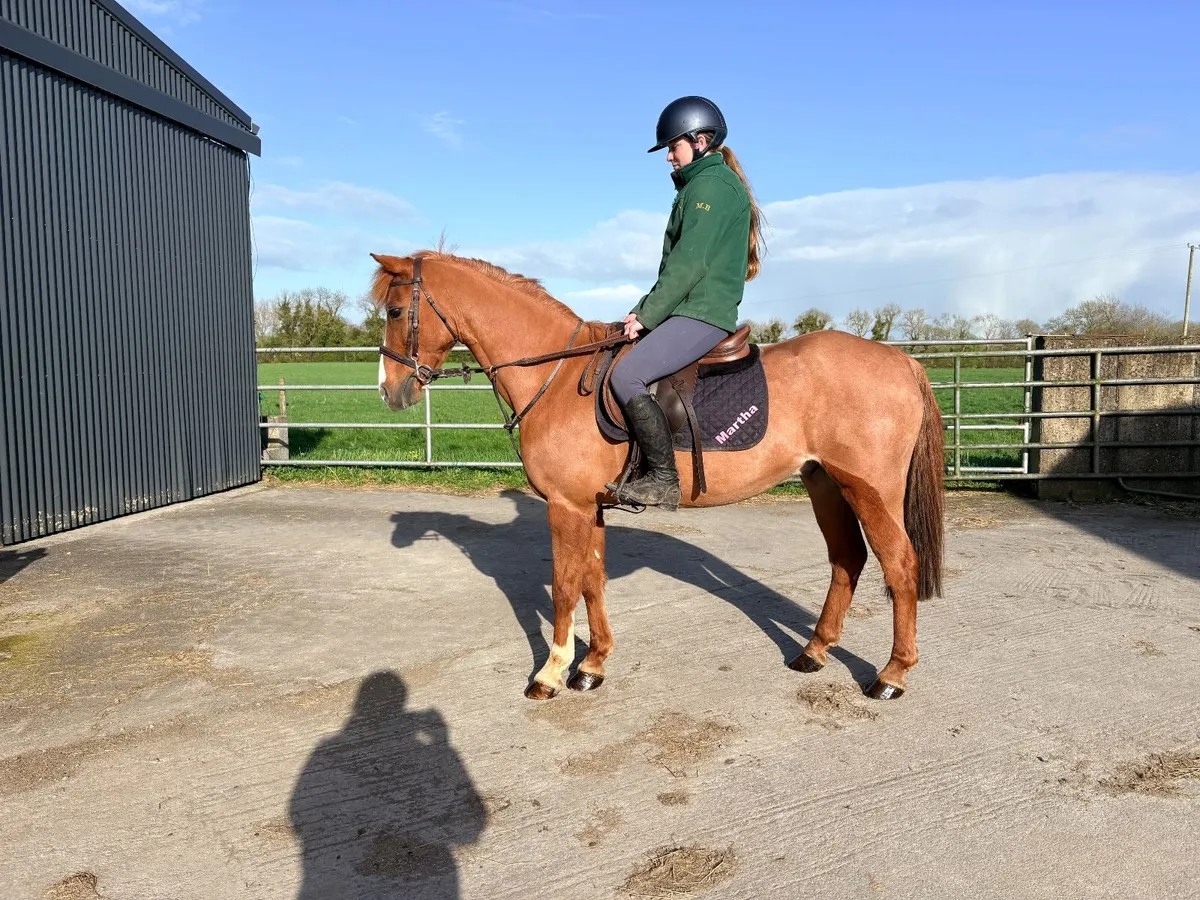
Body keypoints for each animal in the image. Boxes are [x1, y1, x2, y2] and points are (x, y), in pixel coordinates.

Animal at [370, 251, 944, 702]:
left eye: (396, 311)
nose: (389, 391)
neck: (556, 376)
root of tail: (901, 361)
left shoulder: (566, 506)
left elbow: (564, 587)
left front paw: (551, 674)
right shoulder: (590, 507)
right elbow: (593, 581)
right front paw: (593, 665)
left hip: (869, 490)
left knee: (900, 566)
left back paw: (891, 675)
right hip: (823, 483)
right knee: (847, 560)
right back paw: (815, 652)